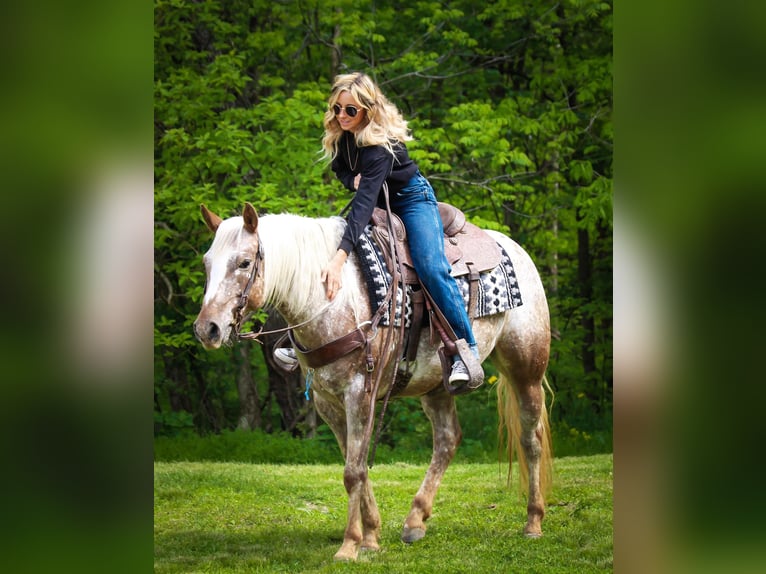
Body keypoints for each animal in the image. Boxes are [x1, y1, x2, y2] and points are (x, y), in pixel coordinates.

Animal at [192, 202, 552, 564]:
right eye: (207, 263)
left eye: (244, 262)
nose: (207, 328)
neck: (331, 297)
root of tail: (513, 247)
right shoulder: (327, 402)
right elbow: (357, 465)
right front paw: (371, 536)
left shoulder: (358, 392)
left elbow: (353, 471)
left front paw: (350, 544)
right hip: (437, 385)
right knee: (448, 440)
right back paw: (415, 519)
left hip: (526, 369)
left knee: (530, 438)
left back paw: (533, 522)